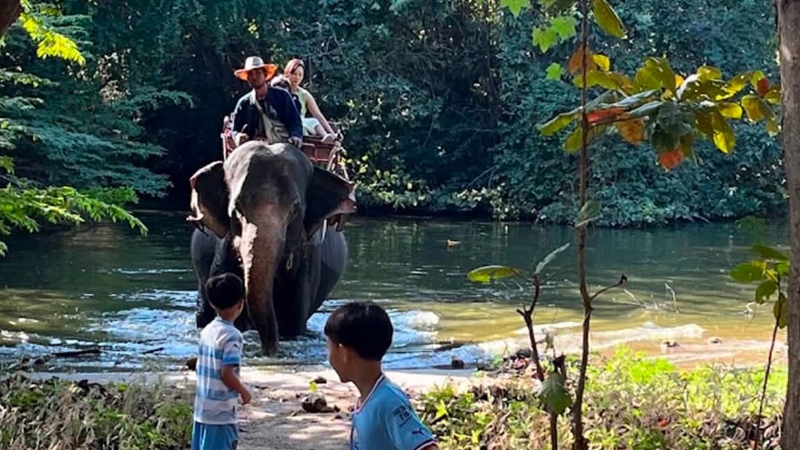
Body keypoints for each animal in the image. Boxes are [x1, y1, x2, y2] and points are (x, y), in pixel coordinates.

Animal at [187, 140, 356, 355]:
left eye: (295, 210)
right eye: (236, 208)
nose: (268, 351)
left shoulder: (308, 261)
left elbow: (292, 321)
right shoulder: (222, 248)